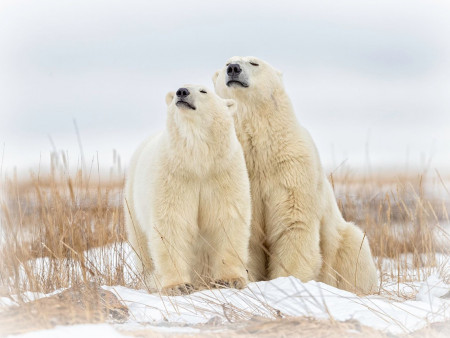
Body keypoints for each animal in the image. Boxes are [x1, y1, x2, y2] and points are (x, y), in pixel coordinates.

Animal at [125, 85, 251, 296]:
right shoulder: (174, 176)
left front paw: (230, 280)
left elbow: (227, 219)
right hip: (132, 202)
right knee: (141, 246)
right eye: (178, 88)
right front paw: (178, 285)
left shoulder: (222, 173)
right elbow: (172, 224)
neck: (197, 160)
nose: (182, 92)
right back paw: (151, 279)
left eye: (203, 91)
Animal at [213, 56, 378, 294]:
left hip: (343, 244)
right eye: (227, 63)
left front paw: (288, 281)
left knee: (355, 249)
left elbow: (293, 222)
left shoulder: (292, 165)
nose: (234, 69)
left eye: (254, 63)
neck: (262, 150)